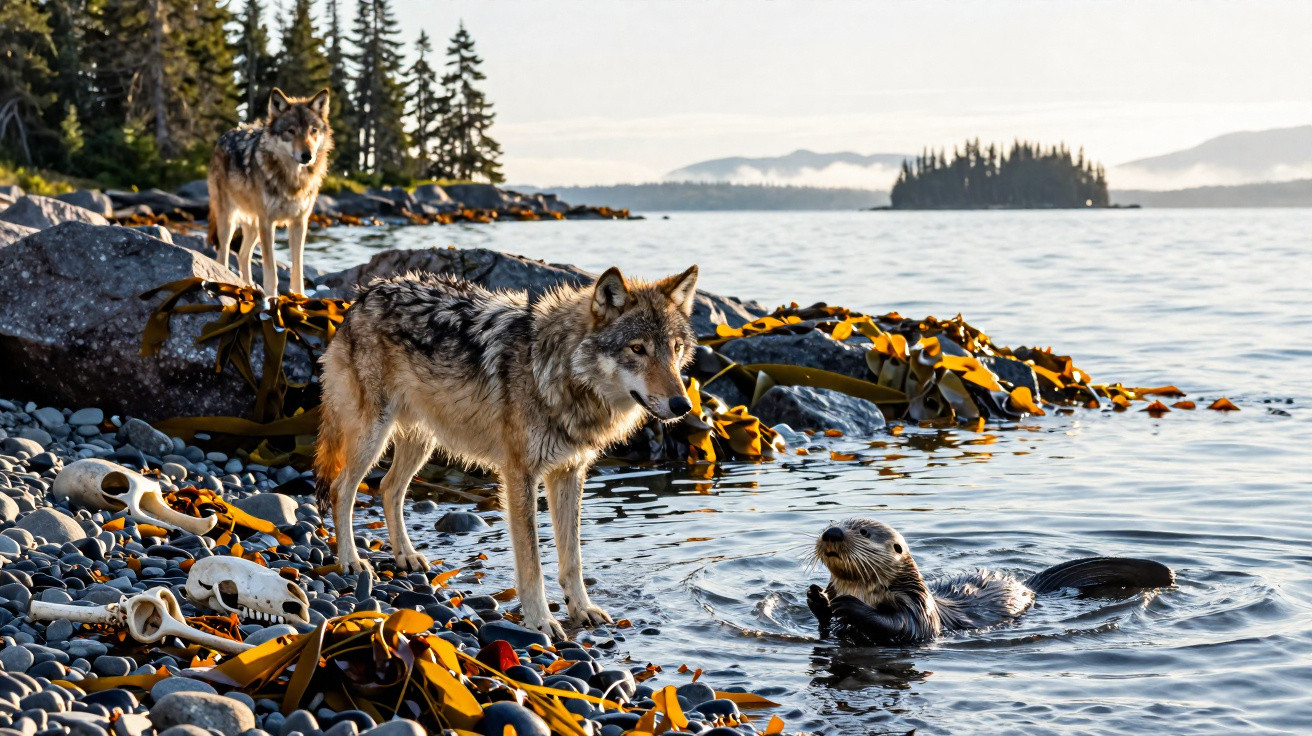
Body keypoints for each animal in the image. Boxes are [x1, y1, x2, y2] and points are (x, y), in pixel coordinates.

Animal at [207, 88, 332, 297]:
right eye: (291, 131)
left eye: (313, 131)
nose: (307, 155)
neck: (292, 180)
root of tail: (223, 137)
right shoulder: (268, 222)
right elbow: (271, 269)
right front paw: (272, 298)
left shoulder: (299, 223)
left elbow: (297, 268)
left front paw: (300, 297)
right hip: (230, 221)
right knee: (222, 255)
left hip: (254, 226)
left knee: (242, 255)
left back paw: (248, 287)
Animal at [314, 265, 700, 638]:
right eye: (637, 349)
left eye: (675, 349)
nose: (682, 405)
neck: (557, 373)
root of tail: (364, 295)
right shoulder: (520, 476)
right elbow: (532, 564)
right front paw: (541, 621)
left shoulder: (569, 473)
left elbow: (572, 558)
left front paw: (582, 609)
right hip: (373, 437)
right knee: (341, 489)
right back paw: (351, 561)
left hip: (422, 441)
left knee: (388, 488)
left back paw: (405, 556)